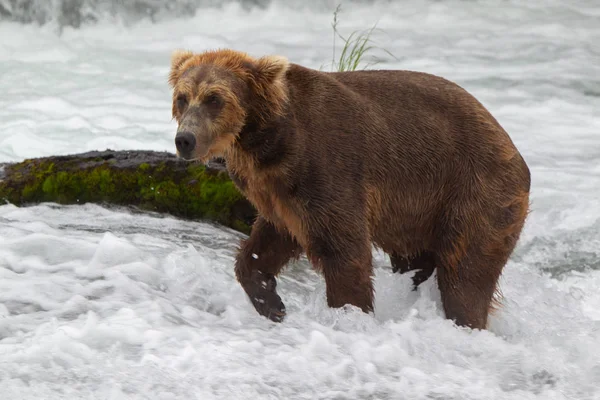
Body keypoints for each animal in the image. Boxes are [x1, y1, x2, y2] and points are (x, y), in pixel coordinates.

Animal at [168, 48, 528, 330]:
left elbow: (344, 250)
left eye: (215, 98)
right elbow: (266, 245)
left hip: (473, 191)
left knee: (465, 272)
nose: (185, 139)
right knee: (417, 262)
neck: (267, 146)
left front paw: (350, 314)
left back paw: (465, 320)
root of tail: (511, 145)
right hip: (420, 214)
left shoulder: (325, 167)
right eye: (182, 98)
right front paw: (272, 303)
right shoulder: (278, 196)